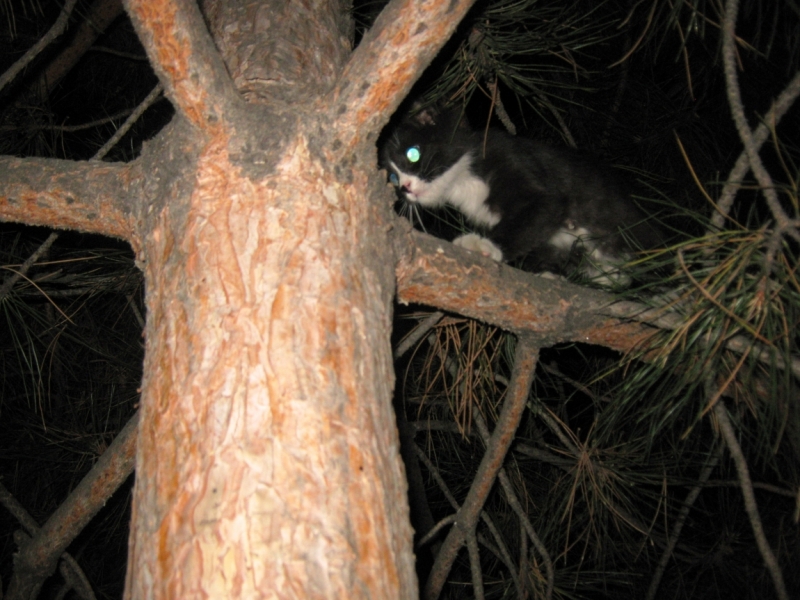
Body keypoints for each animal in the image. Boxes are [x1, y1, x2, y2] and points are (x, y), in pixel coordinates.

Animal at [380, 108, 664, 286]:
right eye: (392, 178)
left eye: (412, 153)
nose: (405, 188)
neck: (463, 181)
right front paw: (548, 273)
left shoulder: (515, 159)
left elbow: (537, 212)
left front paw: (485, 245)